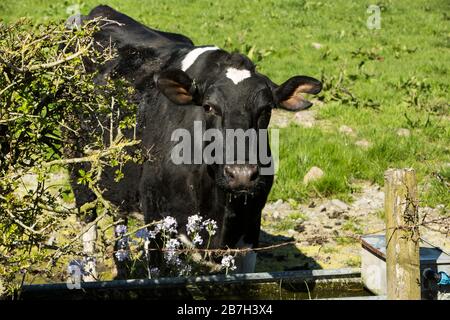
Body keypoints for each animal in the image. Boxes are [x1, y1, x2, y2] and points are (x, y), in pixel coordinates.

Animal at [65, 4, 322, 276]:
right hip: (78, 168)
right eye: (209, 107)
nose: (241, 174)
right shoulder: (156, 219)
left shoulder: (250, 228)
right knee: (88, 228)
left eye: (266, 109)